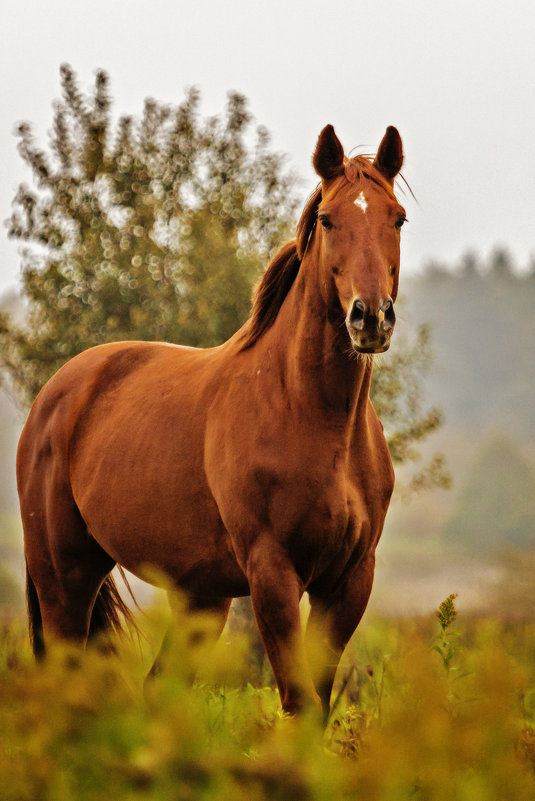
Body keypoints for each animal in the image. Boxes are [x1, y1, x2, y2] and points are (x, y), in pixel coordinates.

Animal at [17, 125, 406, 720]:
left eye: (398, 218)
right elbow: (298, 701)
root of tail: (57, 393)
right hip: (65, 576)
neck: (312, 415)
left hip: (198, 596)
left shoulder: (349, 578)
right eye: (327, 219)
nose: (370, 318)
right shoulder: (272, 574)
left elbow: (316, 703)